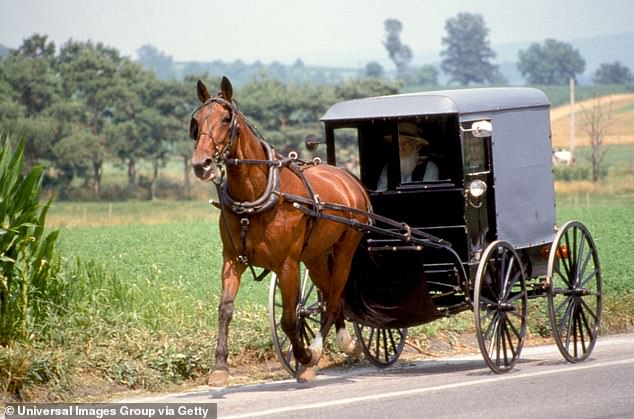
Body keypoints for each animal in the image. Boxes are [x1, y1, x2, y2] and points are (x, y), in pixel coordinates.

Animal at [189, 77, 370, 386]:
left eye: (226, 119)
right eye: (197, 121)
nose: (202, 164)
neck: (258, 196)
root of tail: (348, 178)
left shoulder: (287, 265)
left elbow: (288, 318)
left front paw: (305, 356)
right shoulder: (232, 260)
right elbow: (225, 310)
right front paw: (220, 368)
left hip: (345, 250)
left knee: (335, 298)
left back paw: (322, 350)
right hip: (315, 256)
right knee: (328, 297)